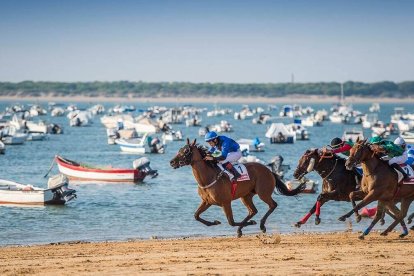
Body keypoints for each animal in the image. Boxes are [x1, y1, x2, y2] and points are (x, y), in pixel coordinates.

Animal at [169, 138, 304, 237]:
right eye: (180, 149)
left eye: (186, 151)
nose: (172, 162)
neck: (209, 177)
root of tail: (269, 170)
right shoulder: (207, 201)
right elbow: (196, 216)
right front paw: (215, 222)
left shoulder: (226, 202)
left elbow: (231, 222)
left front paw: (250, 223)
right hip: (246, 196)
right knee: (253, 210)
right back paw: (243, 228)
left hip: (263, 193)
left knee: (272, 205)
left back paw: (261, 225)